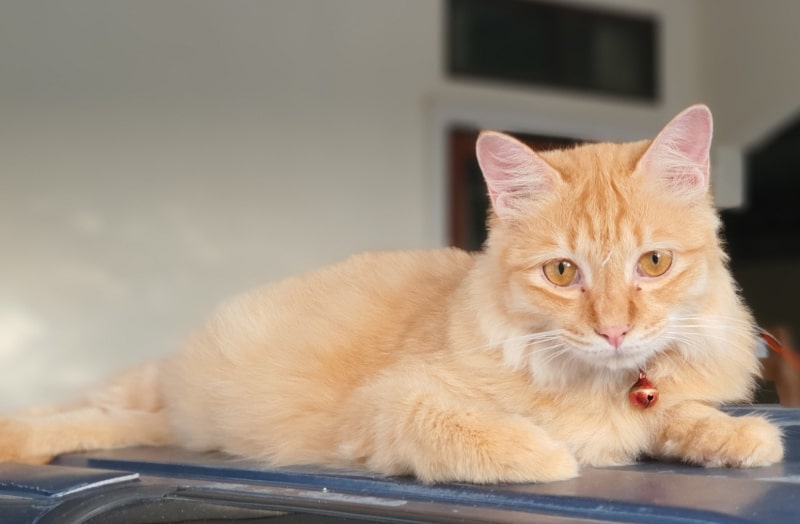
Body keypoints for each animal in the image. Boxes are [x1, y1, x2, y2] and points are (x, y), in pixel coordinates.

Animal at [0, 105, 784, 484]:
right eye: (563, 274)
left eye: (654, 262)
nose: (615, 331)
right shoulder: (389, 403)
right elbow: (475, 429)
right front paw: (548, 451)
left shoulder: (662, 394)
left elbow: (679, 414)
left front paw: (736, 436)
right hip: (145, 388)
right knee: (62, 410)